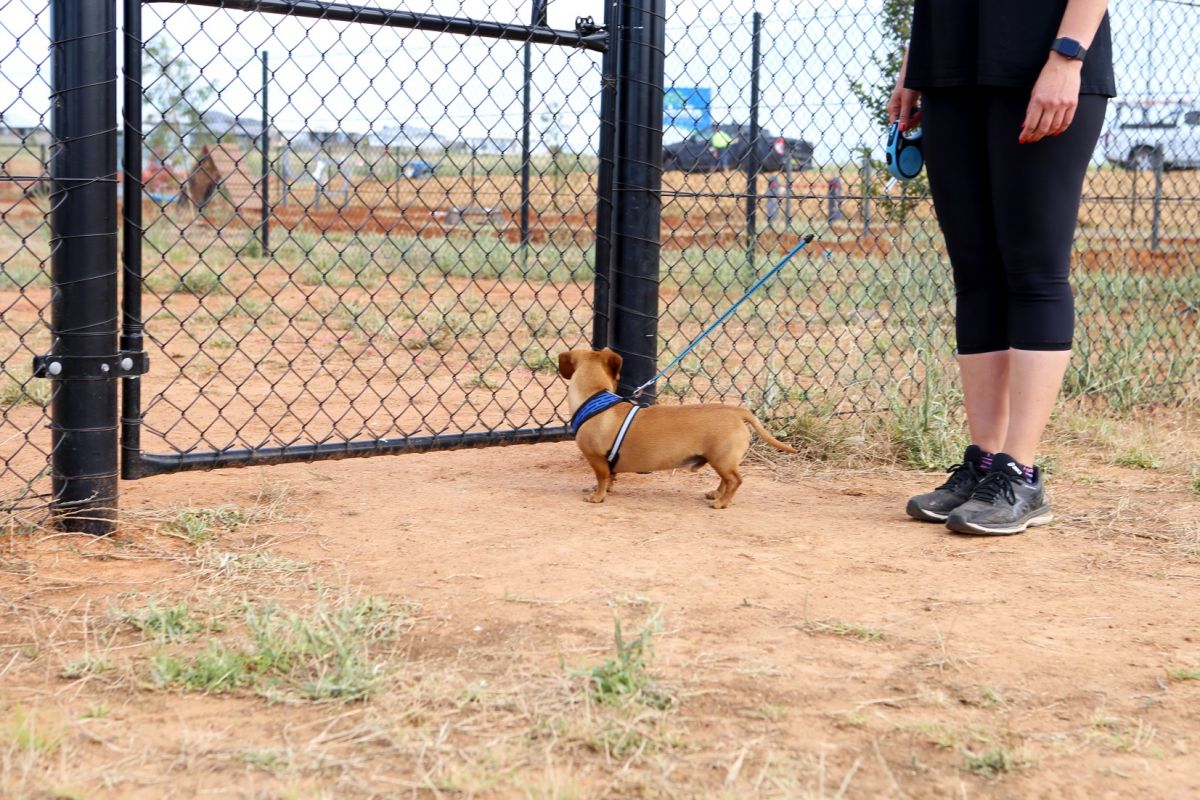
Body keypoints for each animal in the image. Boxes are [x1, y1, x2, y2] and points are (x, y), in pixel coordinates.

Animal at [561, 347, 796, 510]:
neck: (595, 397)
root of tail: (736, 411)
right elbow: (610, 477)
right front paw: (605, 489)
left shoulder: (596, 458)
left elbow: (601, 478)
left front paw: (597, 496)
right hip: (721, 460)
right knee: (726, 480)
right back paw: (716, 495)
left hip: (721, 459)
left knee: (735, 480)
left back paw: (721, 503)